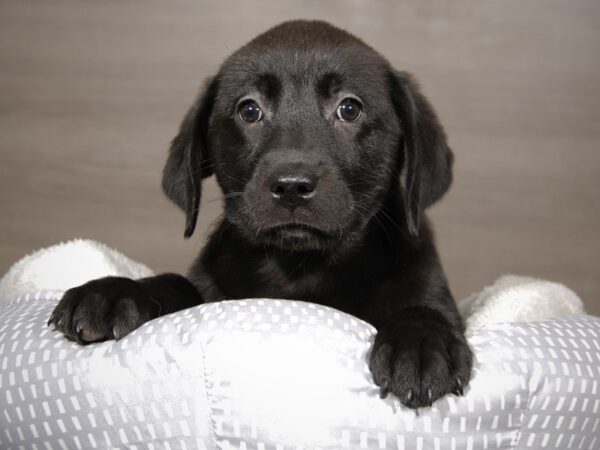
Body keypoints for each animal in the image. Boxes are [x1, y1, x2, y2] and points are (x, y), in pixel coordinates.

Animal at [49, 20, 474, 408]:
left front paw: (421, 343)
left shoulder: (432, 291)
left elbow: (421, 307)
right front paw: (115, 291)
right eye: (249, 110)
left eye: (350, 108)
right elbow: (175, 283)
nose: (292, 186)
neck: (301, 267)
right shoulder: (209, 290)